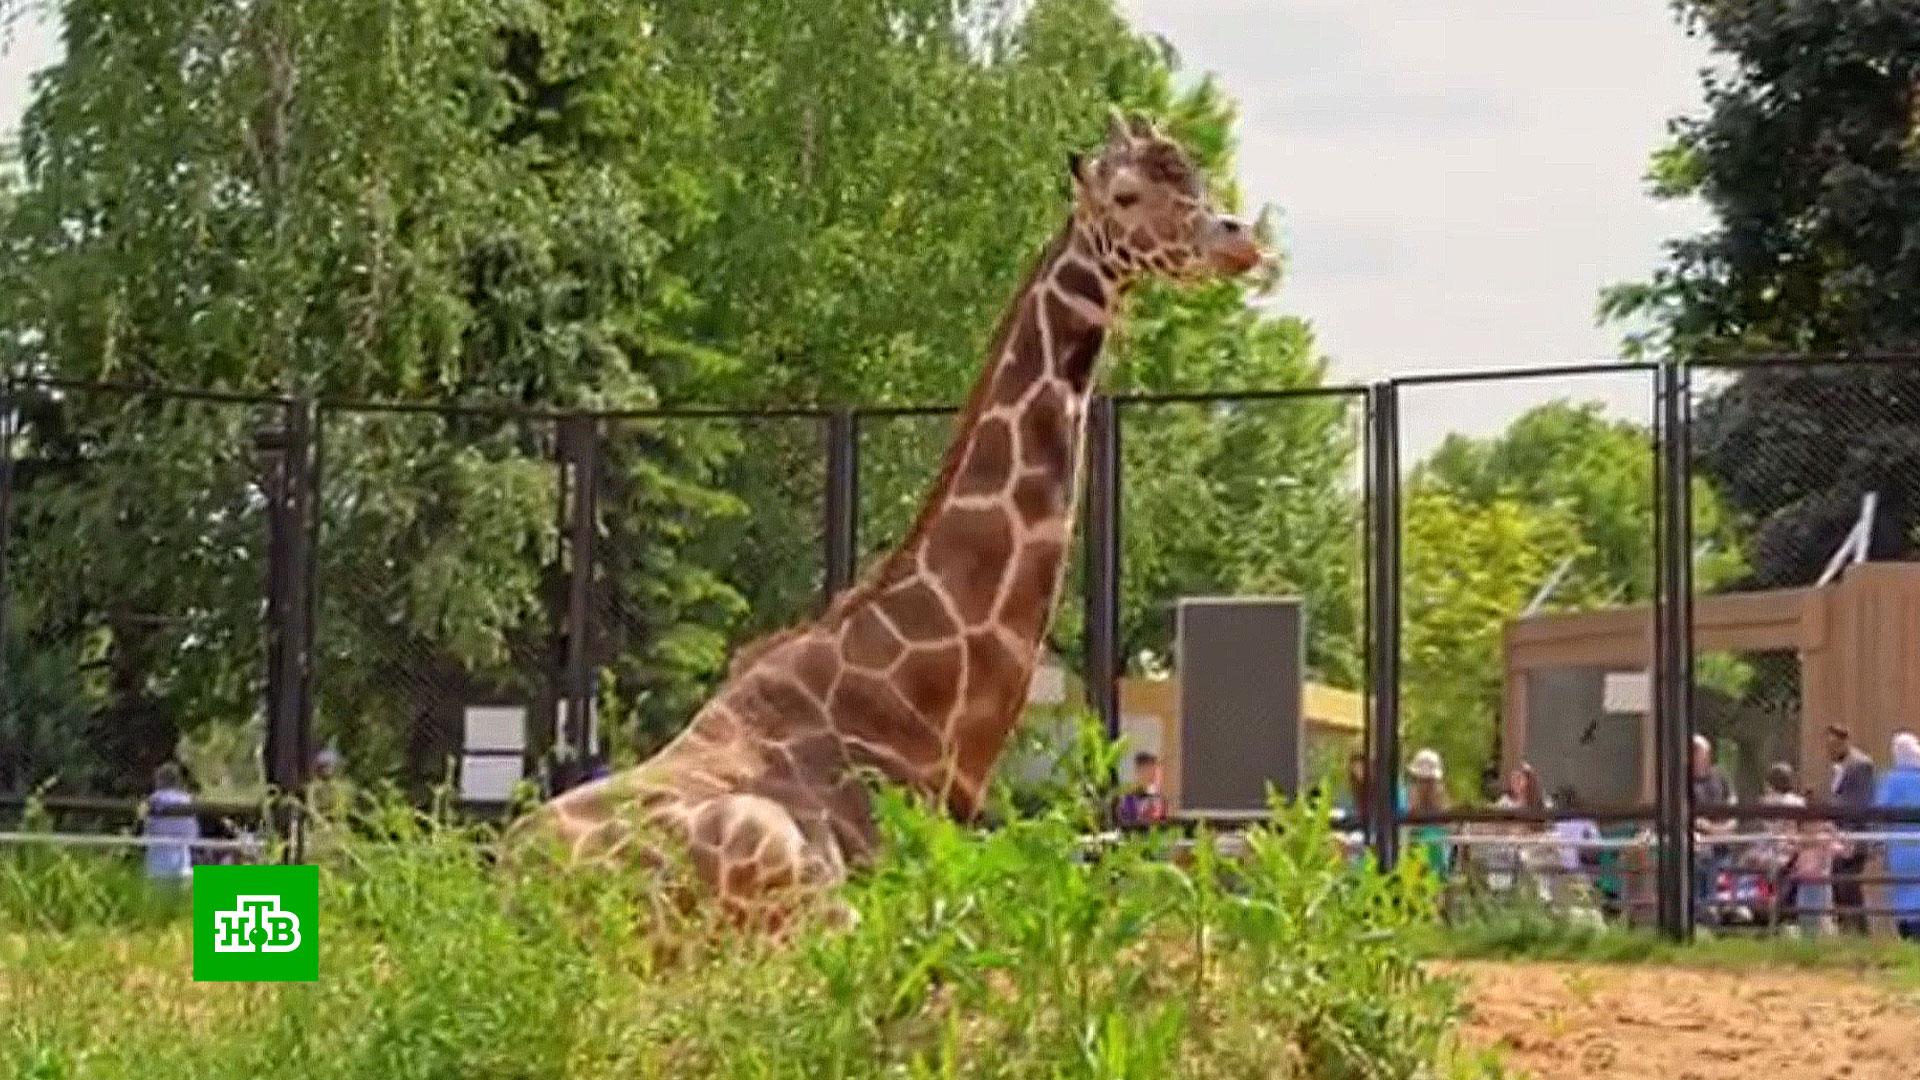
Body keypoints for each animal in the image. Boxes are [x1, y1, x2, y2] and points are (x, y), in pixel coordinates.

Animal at [510, 111, 1259, 926]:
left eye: (1196, 175)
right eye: (1124, 195)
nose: (1238, 239)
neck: (923, 716)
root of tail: (510, 883)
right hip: (783, 867)